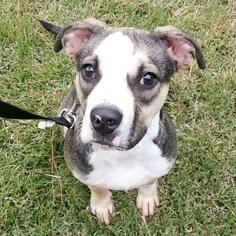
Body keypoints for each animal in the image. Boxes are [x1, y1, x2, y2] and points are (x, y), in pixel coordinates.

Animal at [40, 17, 205, 224]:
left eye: (148, 78)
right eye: (88, 69)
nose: (103, 119)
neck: (124, 155)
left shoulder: (160, 164)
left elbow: (150, 181)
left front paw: (147, 198)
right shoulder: (83, 172)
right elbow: (97, 187)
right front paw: (101, 205)